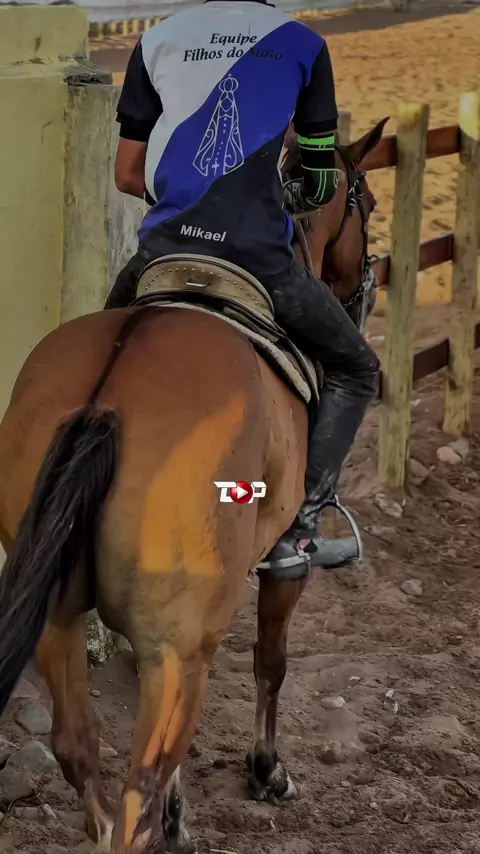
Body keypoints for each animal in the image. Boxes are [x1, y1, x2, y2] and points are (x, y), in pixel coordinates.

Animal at [0, 117, 388, 854]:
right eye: (369, 204)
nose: (363, 291)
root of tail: (107, 399)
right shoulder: (278, 571)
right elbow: (272, 660)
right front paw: (267, 771)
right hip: (176, 648)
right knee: (137, 796)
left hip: (63, 621)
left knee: (81, 754)